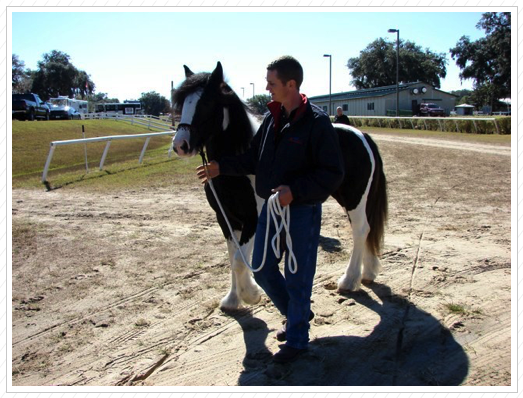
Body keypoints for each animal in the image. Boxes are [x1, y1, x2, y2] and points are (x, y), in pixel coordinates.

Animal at [173, 62, 388, 310]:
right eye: (182, 103)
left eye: (206, 103)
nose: (180, 145)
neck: (238, 167)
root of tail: (362, 135)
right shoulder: (225, 218)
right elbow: (232, 256)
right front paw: (233, 299)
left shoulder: (253, 219)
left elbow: (239, 260)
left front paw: (251, 294)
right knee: (367, 229)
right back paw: (368, 272)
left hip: (354, 198)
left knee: (361, 230)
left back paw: (349, 280)